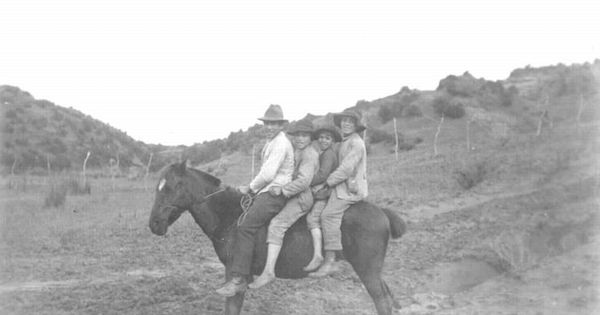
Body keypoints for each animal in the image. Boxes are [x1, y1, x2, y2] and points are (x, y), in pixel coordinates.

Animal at [148, 162, 406, 314]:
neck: (230, 217)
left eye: (172, 186)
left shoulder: (234, 274)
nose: (154, 224)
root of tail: (382, 212)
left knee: (382, 301)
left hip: (367, 269)